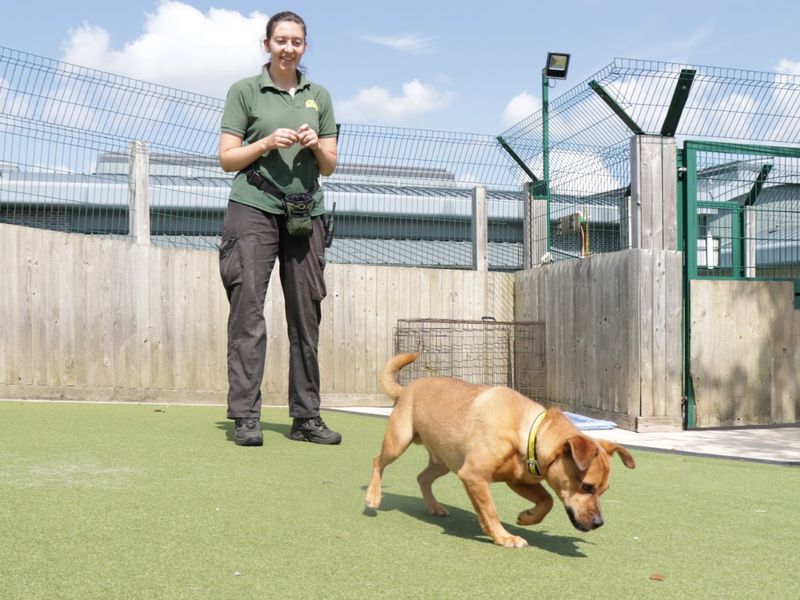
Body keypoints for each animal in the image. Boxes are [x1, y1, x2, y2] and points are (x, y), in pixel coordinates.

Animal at [366, 352, 636, 548]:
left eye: (604, 490)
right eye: (587, 487)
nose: (599, 523)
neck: (528, 431)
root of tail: (406, 388)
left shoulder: (516, 480)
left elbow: (547, 501)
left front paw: (527, 517)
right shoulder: (474, 476)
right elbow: (490, 510)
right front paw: (504, 537)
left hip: (445, 461)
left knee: (422, 477)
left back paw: (433, 506)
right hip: (399, 441)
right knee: (377, 461)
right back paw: (373, 496)